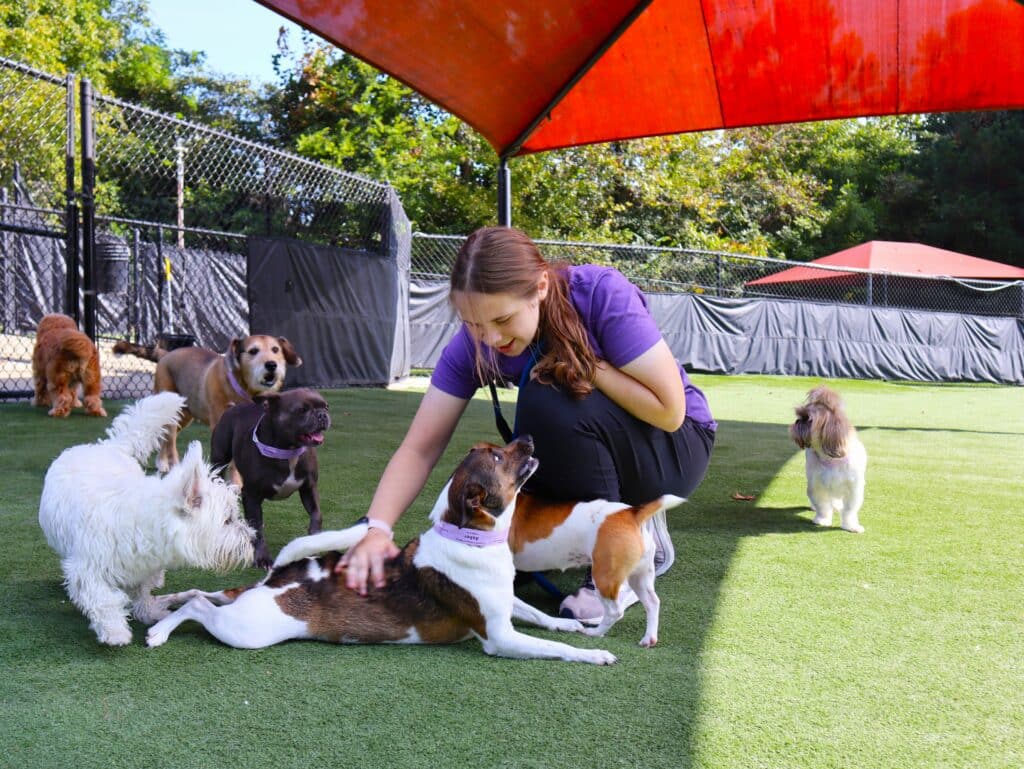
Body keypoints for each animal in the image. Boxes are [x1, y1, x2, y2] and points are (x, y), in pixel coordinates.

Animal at [117, 333, 299, 473]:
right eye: (253, 351)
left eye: (275, 350)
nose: (271, 365)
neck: (244, 388)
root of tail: (166, 354)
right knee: (170, 438)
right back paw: (172, 465)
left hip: (185, 416)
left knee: (167, 435)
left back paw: (162, 463)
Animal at [144, 438, 614, 667]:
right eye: (500, 457)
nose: (529, 439)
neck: (470, 537)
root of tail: (285, 573)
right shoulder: (501, 637)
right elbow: (553, 648)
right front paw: (593, 654)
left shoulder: (506, 603)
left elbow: (542, 619)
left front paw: (575, 625)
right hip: (247, 629)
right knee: (201, 608)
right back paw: (160, 631)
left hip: (246, 604)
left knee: (206, 595)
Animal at [210, 391, 329, 565]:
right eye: (302, 410)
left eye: (326, 406)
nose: (322, 415)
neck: (288, 451)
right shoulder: (251, 495)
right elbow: (256, 527)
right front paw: (262, 558)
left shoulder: (309, 488)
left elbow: (317, 515)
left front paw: (314, 541)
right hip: (219, 461)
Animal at [790, 385, 864, 536]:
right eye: (799, 416)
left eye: (808, 419)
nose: (797, 421)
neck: (831, 459)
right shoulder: (817, 486)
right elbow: (822, 506)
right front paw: (822, 520)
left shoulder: (853, 488)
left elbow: (849, 510)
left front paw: (851, 526)